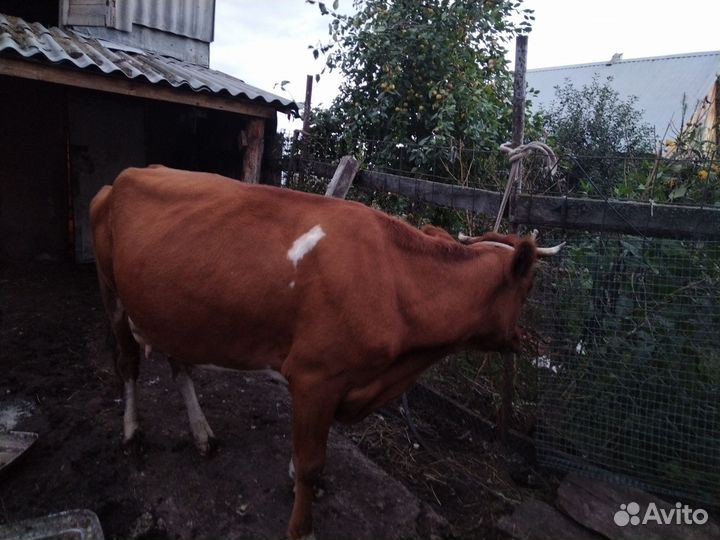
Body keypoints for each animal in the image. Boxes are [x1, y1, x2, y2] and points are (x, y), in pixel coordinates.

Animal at [89, 165, 563, 539]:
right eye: (531, 286)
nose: (531, 342)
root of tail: (126, 176)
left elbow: (308, 456)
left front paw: (295, 481)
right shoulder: (316, 376)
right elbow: (312, 461)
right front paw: (302, 526)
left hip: (172, 312)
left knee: (178, 362)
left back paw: (201, 434)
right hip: (113, 295)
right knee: (127, 365)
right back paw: (132, 434)